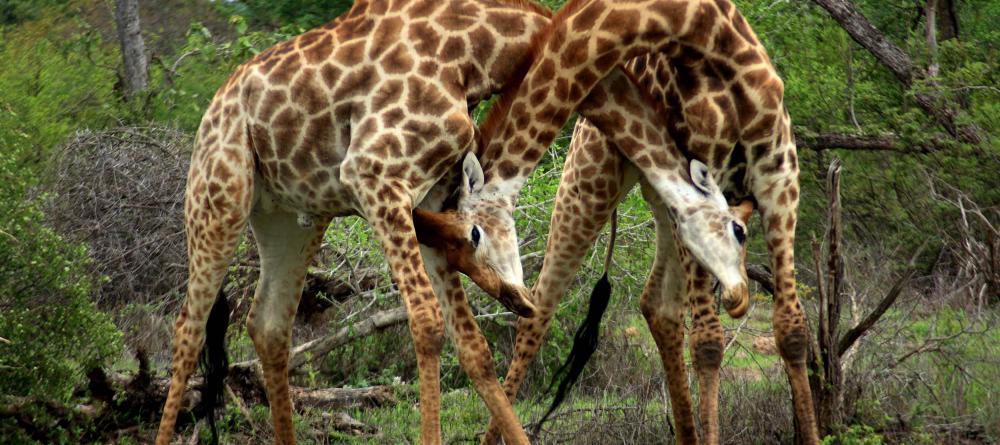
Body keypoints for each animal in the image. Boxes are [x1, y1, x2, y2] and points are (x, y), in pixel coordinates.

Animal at [153, 1, 566, 444]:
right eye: (476, 235)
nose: (521, 301)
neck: (472, 54)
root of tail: (213, 105)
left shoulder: (427, 199)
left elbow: (471, 342)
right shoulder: (373, 176)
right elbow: (427, 322)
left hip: (288, 218)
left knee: (269, 324)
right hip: (218, 197)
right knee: (188, 329)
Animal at [472, 1, 816, 444]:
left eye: (741, 232)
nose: (737, 298)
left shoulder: (780, 177)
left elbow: (792, 329)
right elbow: (707, 342)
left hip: (657, 199)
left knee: (659, 306)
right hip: (589, 182)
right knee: (539, 311)